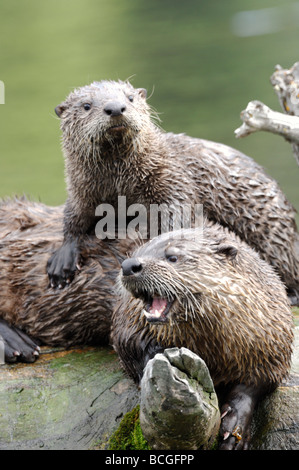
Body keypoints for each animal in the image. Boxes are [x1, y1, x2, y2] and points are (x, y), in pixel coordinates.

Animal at [47, 79, 299, 304]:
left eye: (130, 97)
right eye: (86, 105)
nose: (116, 108)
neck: (120, 185)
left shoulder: (173, 178)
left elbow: (177, 215)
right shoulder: (80, 191)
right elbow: (72, 218)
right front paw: (62, 261)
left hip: (276, 234)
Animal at [111, 226, 294, 450]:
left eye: (173, 257)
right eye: (136, 253)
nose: (129, 265)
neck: (213, 349)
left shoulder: (272, 343)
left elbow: (255, 386)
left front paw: (235, 428)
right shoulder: (127, 321)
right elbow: (131, 350)